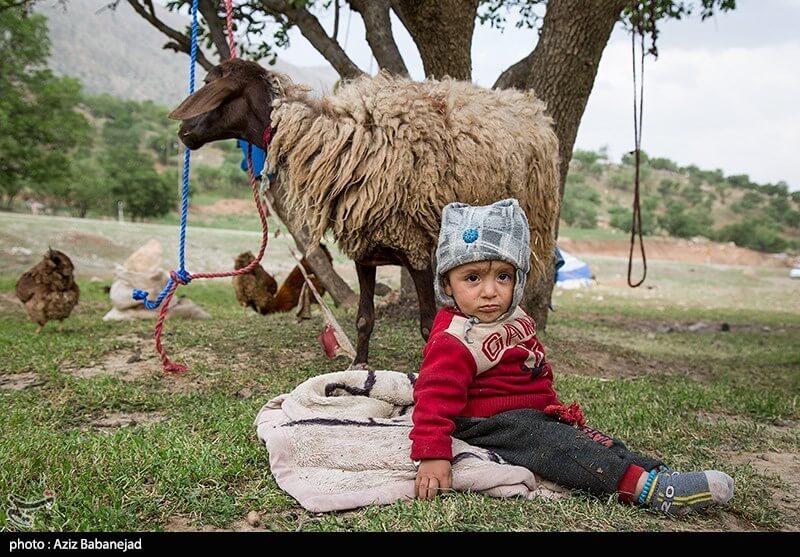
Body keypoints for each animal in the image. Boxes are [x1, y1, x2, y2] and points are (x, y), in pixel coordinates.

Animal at [169, 58, 560, 364]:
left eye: (209, 84)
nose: (184, 131)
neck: (333, 139)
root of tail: (530, 107)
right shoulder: (365, 251)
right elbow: (363, 319)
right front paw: (358, 367)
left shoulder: (416, 249)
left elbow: (426, 325)